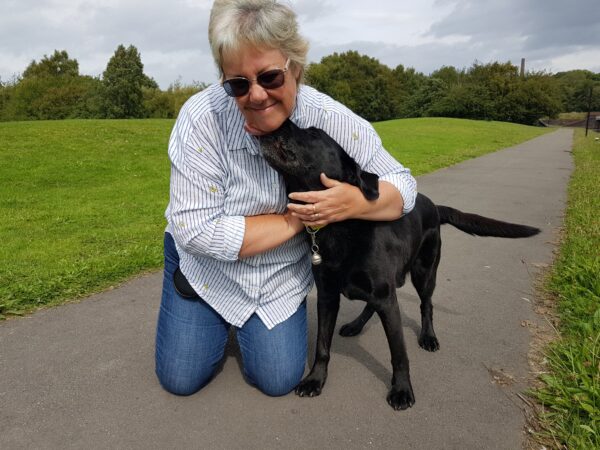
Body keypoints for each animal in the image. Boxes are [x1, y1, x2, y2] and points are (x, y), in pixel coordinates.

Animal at [258, 120, 540, 412]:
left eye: (313, 132)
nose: (281, 122)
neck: (340, 228)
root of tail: (434, 205)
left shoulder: (386, 298)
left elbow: (398, 352)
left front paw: (402, 389)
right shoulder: (328, 296)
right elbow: (322, 346)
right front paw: (315, 379)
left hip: (424, 273)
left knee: (426, 305)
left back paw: (428, 337)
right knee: (372, 305)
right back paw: (356, 325)